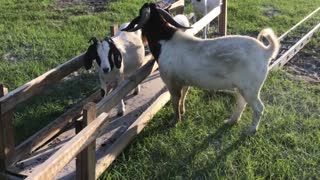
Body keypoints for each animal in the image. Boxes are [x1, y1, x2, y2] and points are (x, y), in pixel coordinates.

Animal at [122, 2, 280, 134]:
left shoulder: (172, 83)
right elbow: (183, 96)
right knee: (241, 103)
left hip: (251, 88)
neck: (165, 40)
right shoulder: (184, 82)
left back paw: (251, 130)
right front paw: (183, 112)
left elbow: (175, 101)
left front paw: (175, 121)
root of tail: (266, 51)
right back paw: (231, 121)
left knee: (259, 108)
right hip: (242, 87)